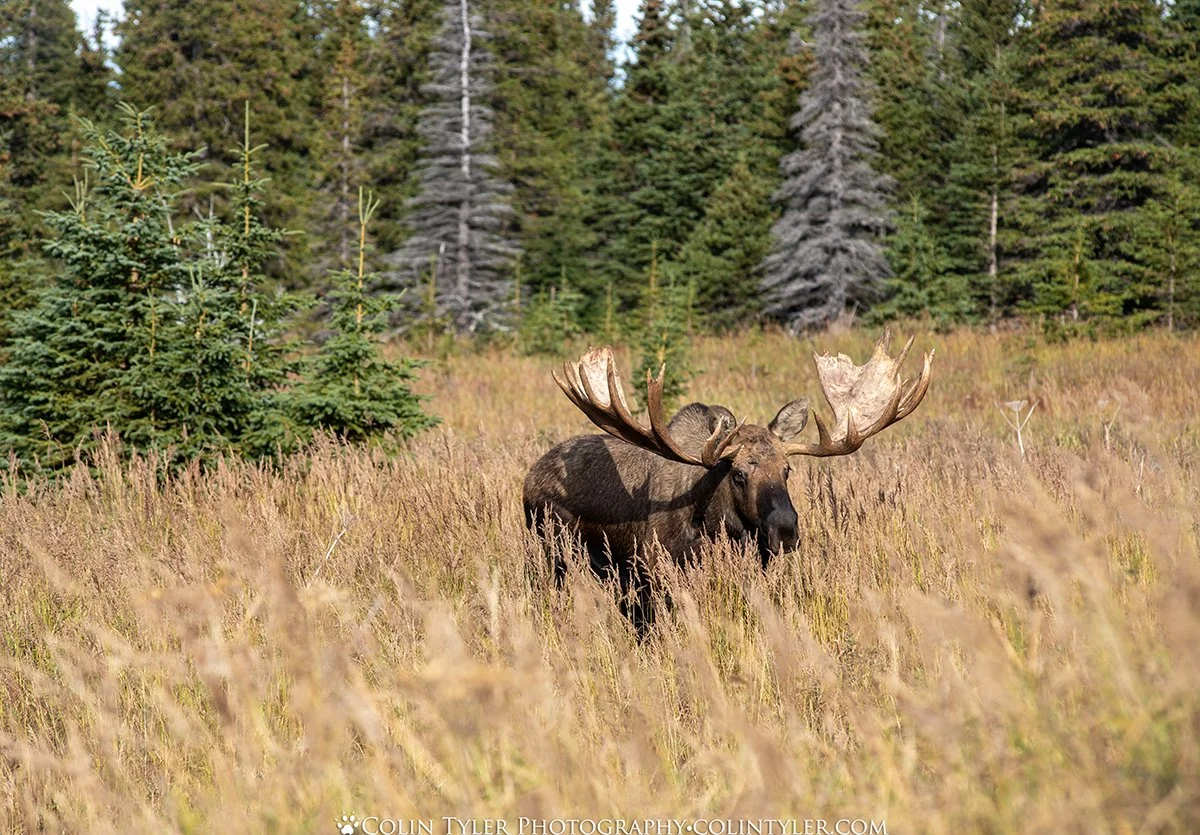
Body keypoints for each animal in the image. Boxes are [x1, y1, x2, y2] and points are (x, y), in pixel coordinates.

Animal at [522, 332, 934, 630]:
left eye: (787, 470)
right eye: (738, 474)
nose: (785, 530)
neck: (714, 523)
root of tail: (529, 478)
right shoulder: (653, 575)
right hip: (553, 553)